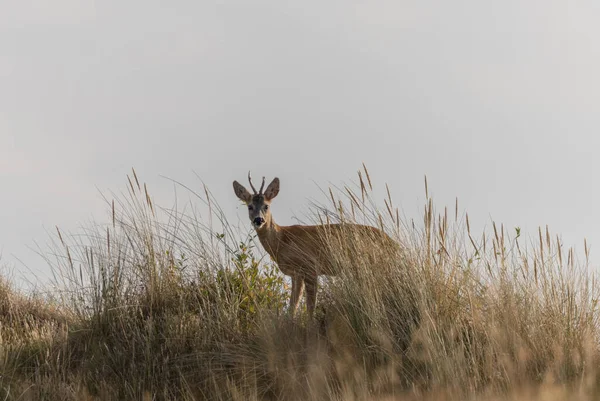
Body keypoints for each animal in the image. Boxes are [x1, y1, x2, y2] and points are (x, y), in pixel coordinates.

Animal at [232, 172, 396, 318]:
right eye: (250, 206)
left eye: (266, 206)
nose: (258, 220)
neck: (282, 240)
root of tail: (391, 241)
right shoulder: (296, 274)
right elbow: (293, 306)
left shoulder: (310, 267)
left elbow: (310, 306)